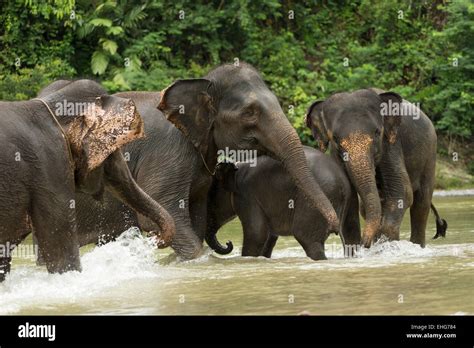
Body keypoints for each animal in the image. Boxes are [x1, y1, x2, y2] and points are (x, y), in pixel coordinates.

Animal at [37, 62, 340, 260]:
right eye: (250, 113)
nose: (336, 229)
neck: (199, 84)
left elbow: (196, 216)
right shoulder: (169, 152)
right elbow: (165, 213)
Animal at [206, 145, 362, 260]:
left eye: (209, 199)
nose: (228, 243)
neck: (237, 166)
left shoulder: (247, 196)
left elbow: (256, 234)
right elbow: (269, 238)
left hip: (315, 205)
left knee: (308, 241)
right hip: (350, 203)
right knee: (350, 239)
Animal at [306, 88, 446, 249]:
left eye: (377, 132)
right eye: (335, 138)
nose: (364, 243)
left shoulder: (391, 145)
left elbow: (402, 192)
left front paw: (384, 246)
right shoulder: (335, 154)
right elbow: (349, 198)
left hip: (430, 155)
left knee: (421, 204)